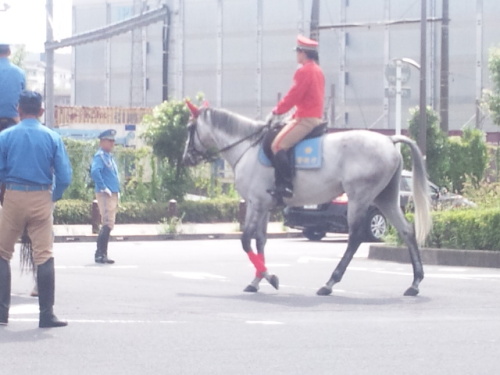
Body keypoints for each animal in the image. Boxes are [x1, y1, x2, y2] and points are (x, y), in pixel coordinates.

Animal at [182, 102, 432, 296]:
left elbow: (245, 241)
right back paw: (415, 283)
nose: (186, 158)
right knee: (407, 231)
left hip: (360, 197)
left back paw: (330, 283)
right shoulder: (263, 206)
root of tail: (390, 140)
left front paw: (269, 277)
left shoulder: (256, 203)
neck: (247, 147)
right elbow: (260, 241)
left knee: (355, 238)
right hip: (385, 198)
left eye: (190, 128)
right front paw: (257, 280)